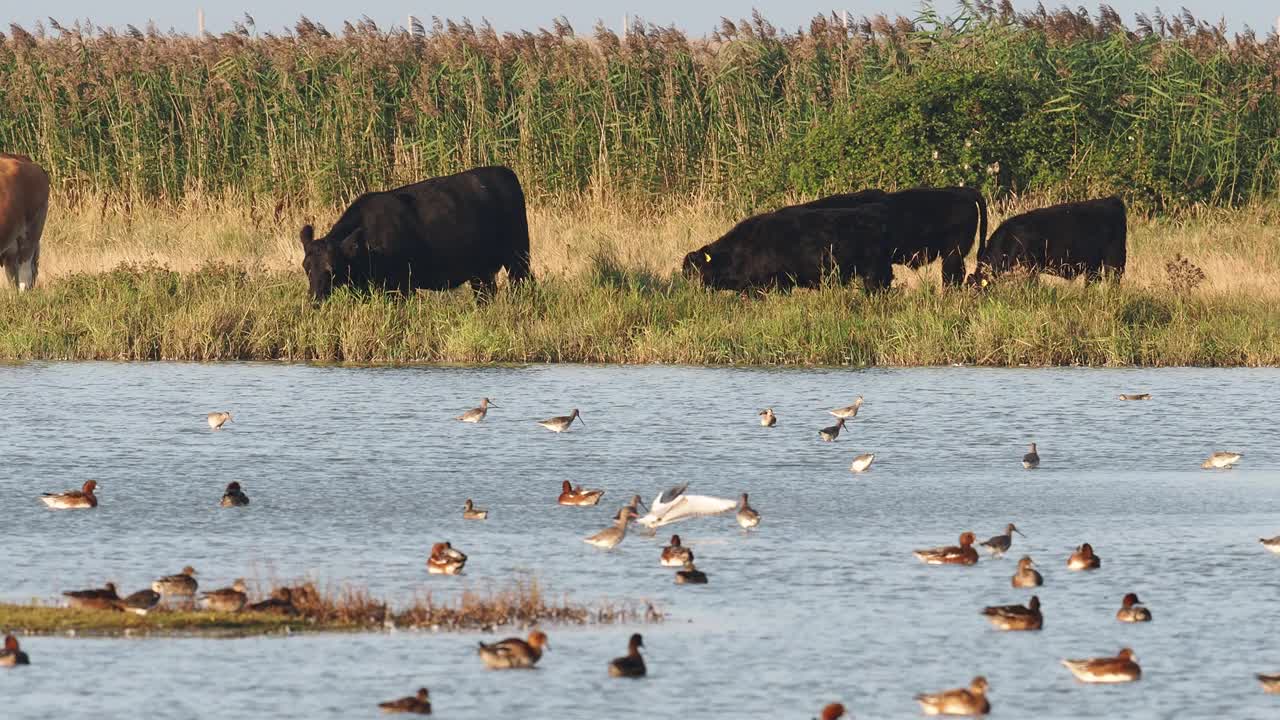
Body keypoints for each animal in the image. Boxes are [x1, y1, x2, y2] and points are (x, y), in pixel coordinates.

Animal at [299, 165, 529, 299]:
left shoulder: (401, 285)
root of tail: (506, 172)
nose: (314, 299)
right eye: (306, 267)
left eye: (330, 269)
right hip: (481, 270)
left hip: (518, 255)